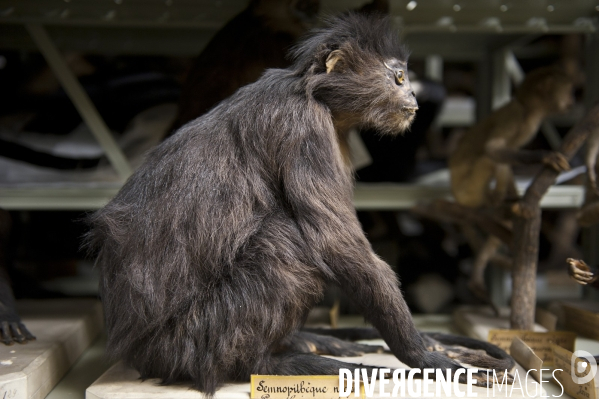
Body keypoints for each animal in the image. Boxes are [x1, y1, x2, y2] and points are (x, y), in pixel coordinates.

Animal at [86, 14, 512, 396]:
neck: (310, 92)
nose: (412, 99)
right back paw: (270, 363)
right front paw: (422, 356)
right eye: (400, 78)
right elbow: (336, 243)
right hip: (193, 340)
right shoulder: (302, 128)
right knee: (285, 241)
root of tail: (136, 350)